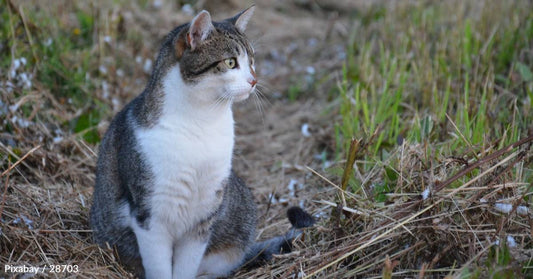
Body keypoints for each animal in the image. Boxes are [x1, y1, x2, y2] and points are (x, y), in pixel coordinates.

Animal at [89, 6, 314, 279]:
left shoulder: (205, 214)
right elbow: (159, 266)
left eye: (252, 61)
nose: (254, 80)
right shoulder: (150, 214)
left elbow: (187, 265)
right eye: (230, 62)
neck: (202, 123)